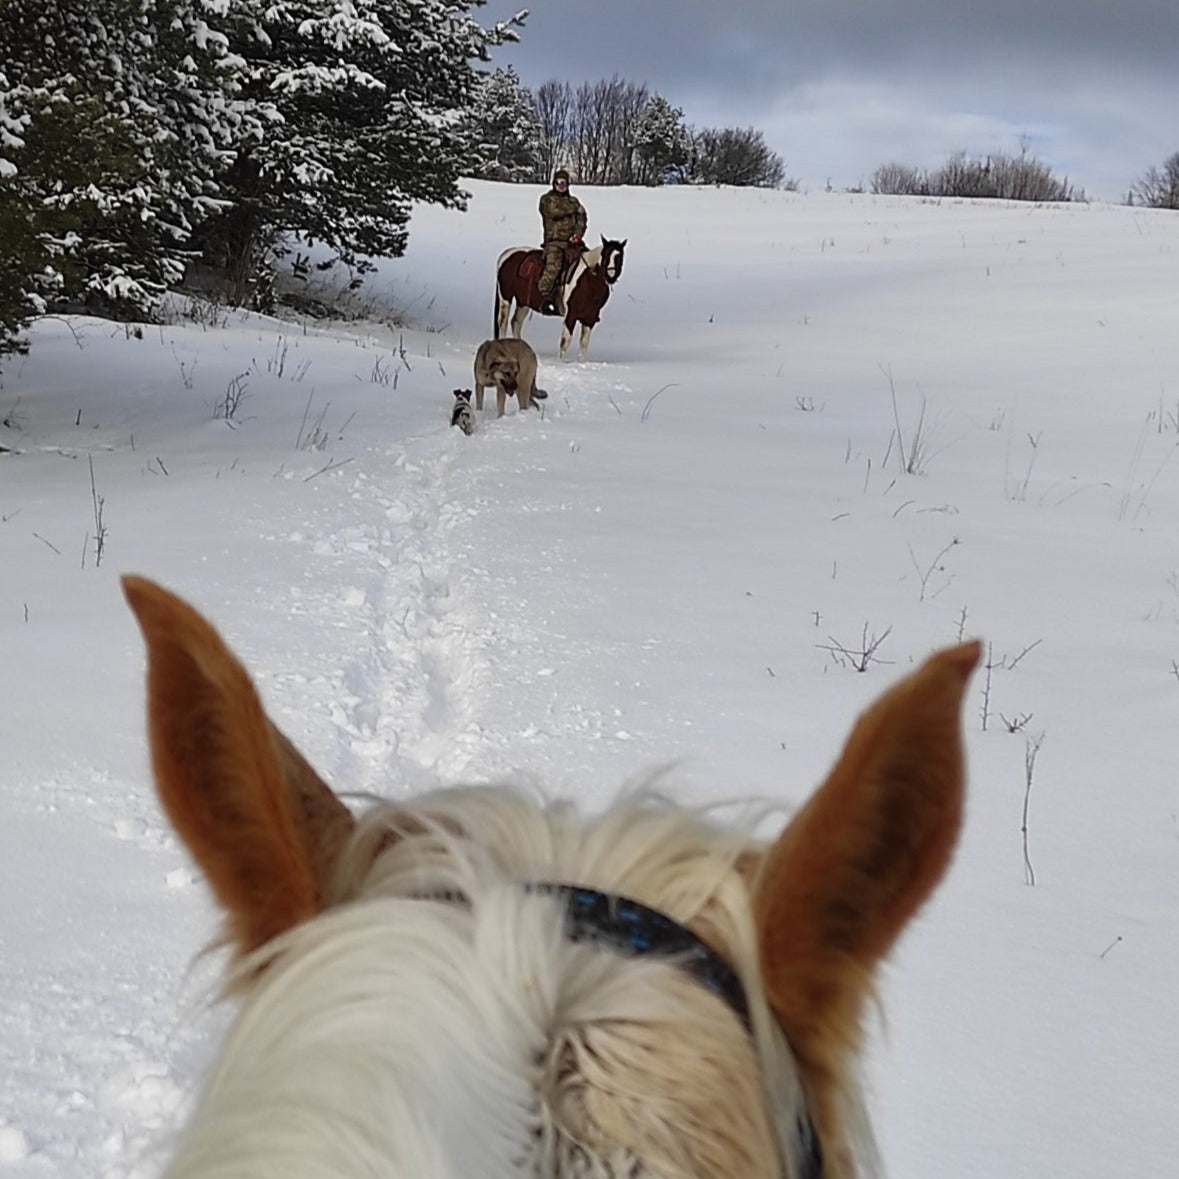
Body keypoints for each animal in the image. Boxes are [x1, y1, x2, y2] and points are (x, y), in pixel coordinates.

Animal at [495, 229, 627, 358]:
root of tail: (506, 254)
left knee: (516, 322)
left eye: (619, 257)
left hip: (523, 303)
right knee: (503, 322)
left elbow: (584, 344)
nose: (610, 277)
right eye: (605, 255)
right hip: (505, 296)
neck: (588, 280)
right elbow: (565, 342)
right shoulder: (571, 315)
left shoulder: (590, 317)